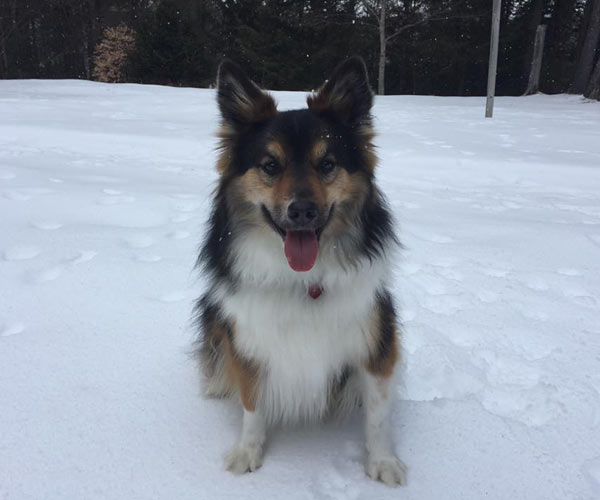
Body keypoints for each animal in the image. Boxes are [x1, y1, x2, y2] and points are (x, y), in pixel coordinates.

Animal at [195, 56, 406, 486]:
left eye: (326, 164)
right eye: (269, 165)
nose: (303, 211)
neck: (302, 279)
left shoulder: (374, 336)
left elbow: (378, 414)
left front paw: (382, 461)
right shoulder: (249, 339)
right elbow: (252, 403)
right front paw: (248, 452)